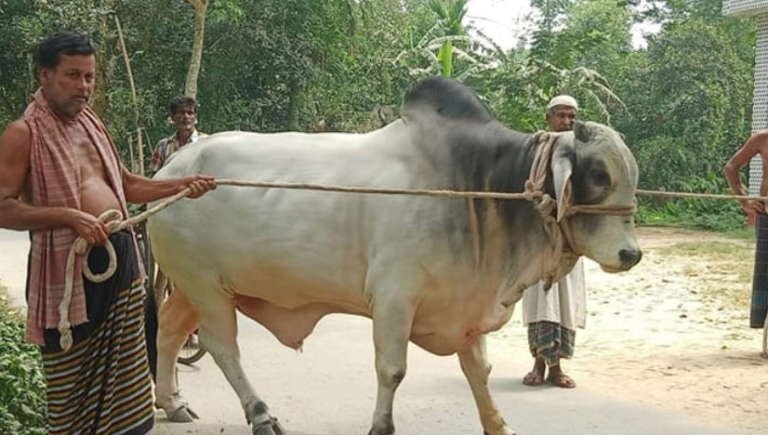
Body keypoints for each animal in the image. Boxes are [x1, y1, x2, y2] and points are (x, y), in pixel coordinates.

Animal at [147, 76, 640, 434]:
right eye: (598, 174)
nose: (631, 253)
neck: (475, 185)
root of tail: (171, 171)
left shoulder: (466, 304)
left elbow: (479, 371)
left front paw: (498, 426)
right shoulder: (394, 298)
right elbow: (392, 370)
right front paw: (381, 426)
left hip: (196, 286)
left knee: (170, 330)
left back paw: (173, 402)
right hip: (205, 287)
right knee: (222, 348)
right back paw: (261, 415)